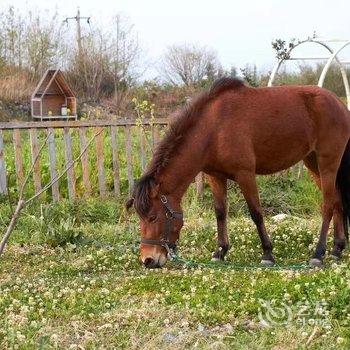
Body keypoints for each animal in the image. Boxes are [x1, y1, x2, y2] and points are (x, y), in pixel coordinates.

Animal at [127, 77, 350, 268]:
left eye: (153, 217)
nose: (148, 260)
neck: (214, 129)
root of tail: (339, 104)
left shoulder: (245, 174)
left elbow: (256, 213)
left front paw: (267, 254)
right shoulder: (215, 176)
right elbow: (220, 212)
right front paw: (220, 251)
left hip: (327, 163)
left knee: (328, 205)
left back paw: (318, 253)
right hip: (313, 163)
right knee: (337, 202)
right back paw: (337, 250)